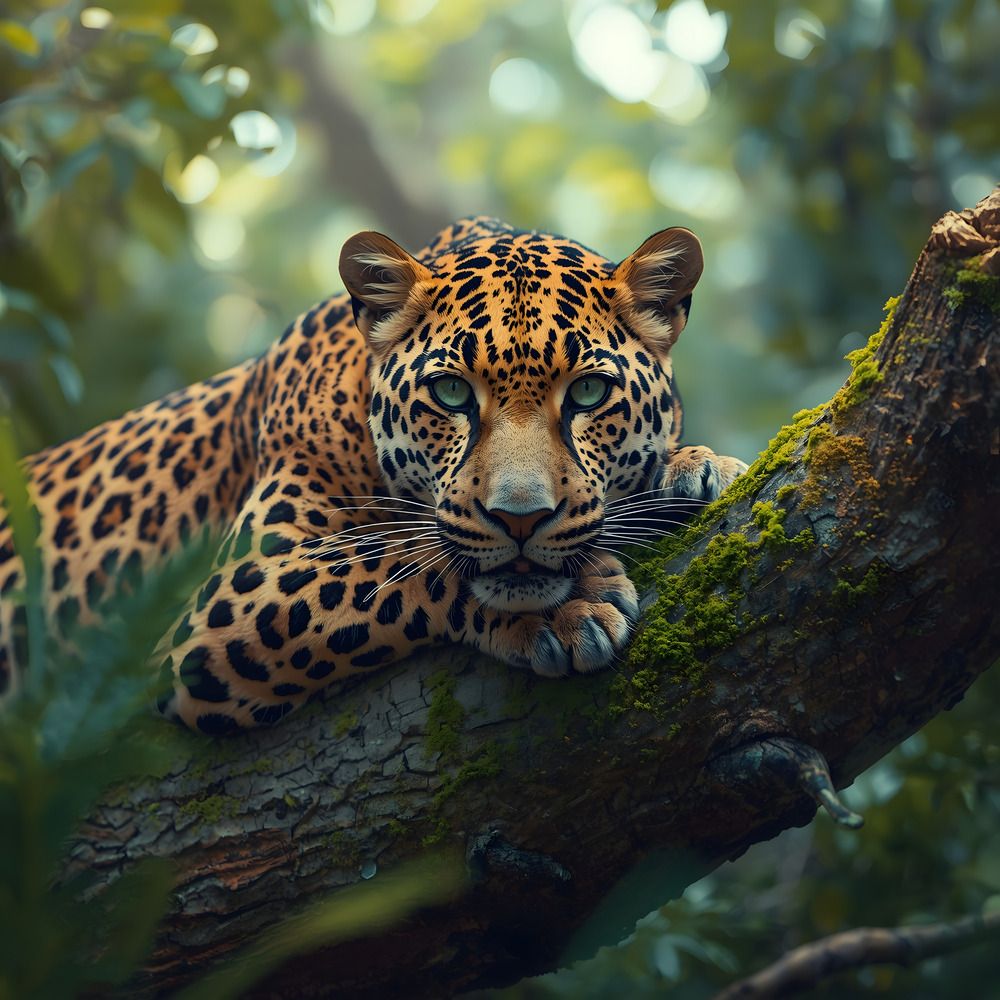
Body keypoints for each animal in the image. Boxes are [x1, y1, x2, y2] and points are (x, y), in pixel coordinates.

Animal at [0, 216, 747, 734]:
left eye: (589, 393)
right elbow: (390, 562)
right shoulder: (231, 593)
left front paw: (697, 466)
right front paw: (568, 607)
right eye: (451, 393)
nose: (521, 519)